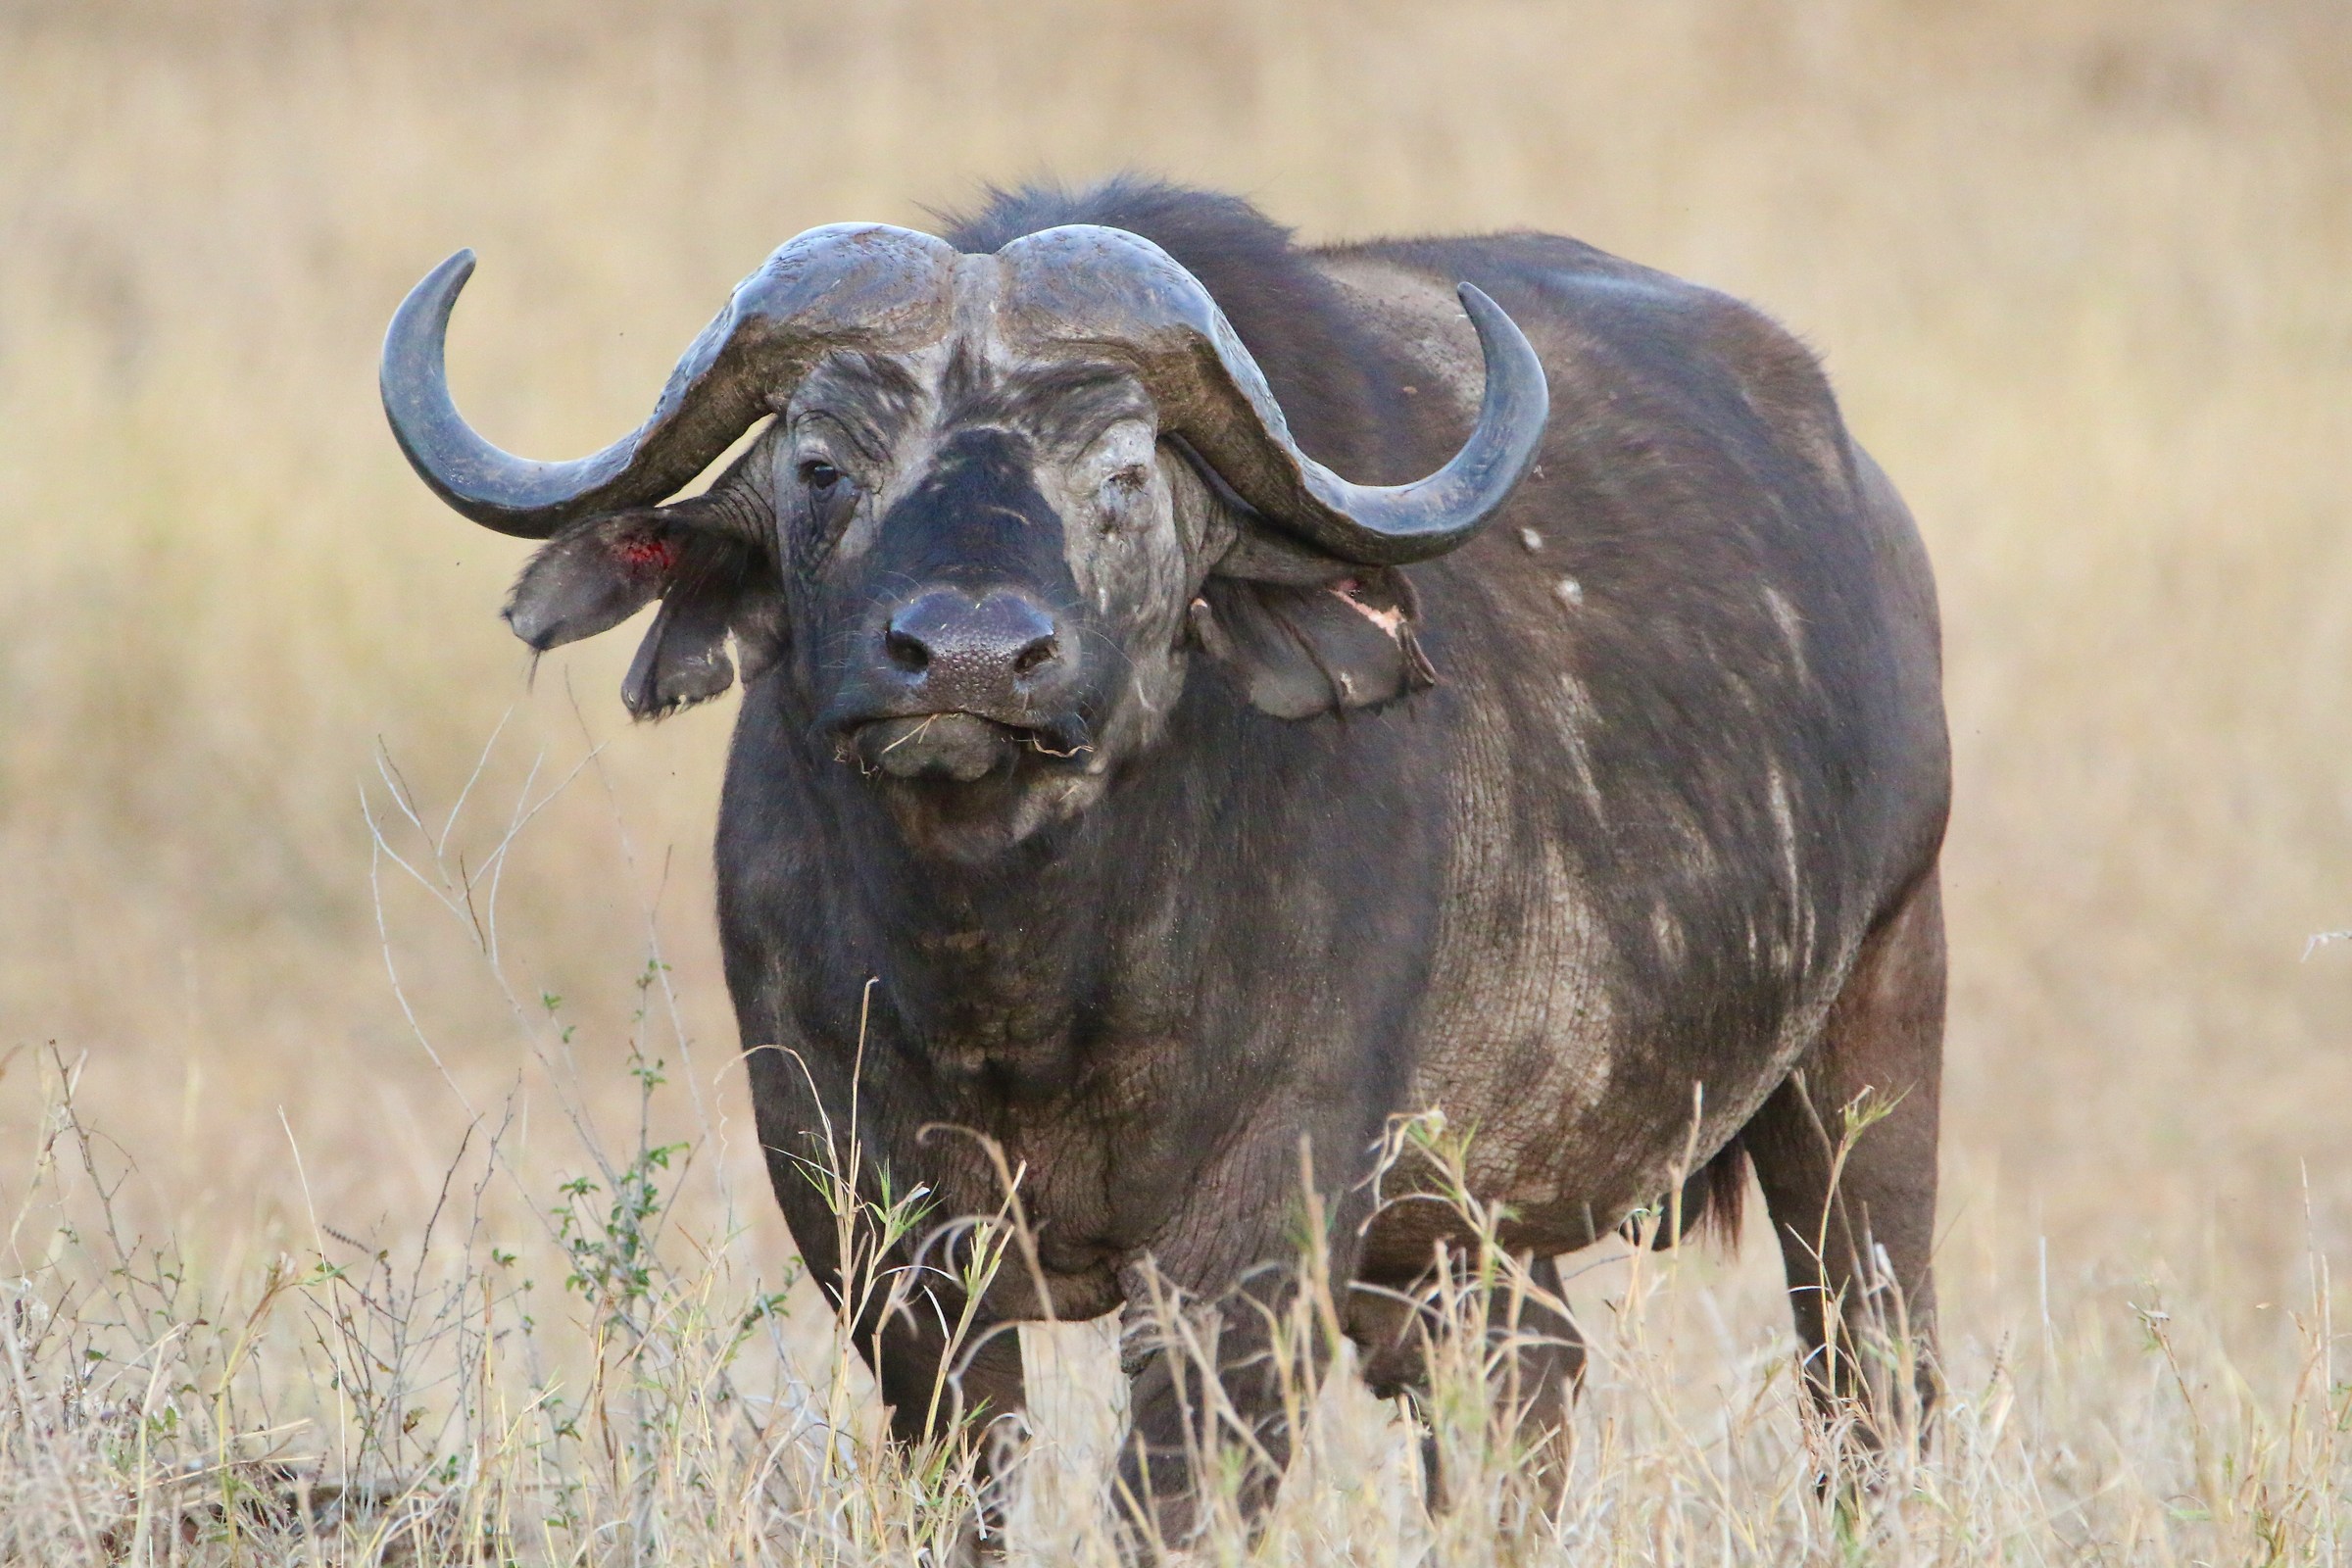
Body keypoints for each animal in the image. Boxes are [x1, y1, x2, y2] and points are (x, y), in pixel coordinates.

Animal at [381, 177, 1948, 1548]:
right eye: (823, 464)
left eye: (1124, 475)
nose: (967, 658)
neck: (1020, 955)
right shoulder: (859, 1203)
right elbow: (964, 1473)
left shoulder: (1257, 1226)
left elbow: (1176, 1494)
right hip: (1459, 1231)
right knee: (1523, 1394)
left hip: (1874, 1045)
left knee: (1870, 1372)